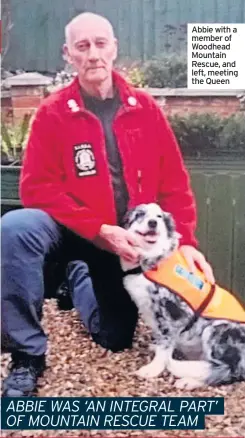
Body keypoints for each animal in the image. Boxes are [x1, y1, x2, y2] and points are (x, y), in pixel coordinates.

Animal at [121, 204, 245, 388]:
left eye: (158, 217)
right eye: (140, 215)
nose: (152, 223)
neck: (155, 259)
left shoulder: (171, 312)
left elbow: (165, 344)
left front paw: (153, 369)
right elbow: (162, 341)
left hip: (217, 329)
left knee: (229, 369)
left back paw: (189, 382)